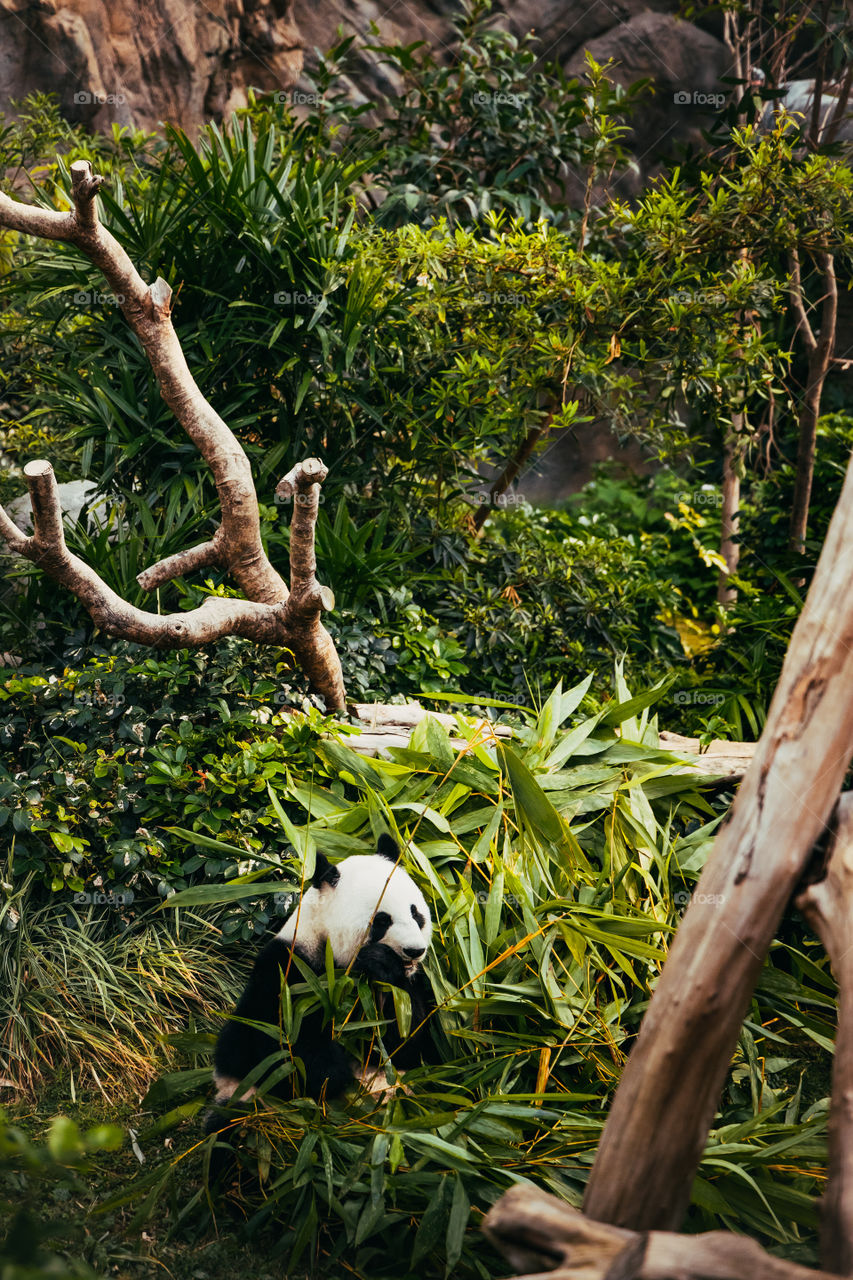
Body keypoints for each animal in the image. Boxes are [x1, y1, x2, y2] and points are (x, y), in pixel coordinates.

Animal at [205, 834, 436, 1161]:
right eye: (382, 921)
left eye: (416, 914)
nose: (415, 951)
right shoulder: (286, 973)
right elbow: (284, 1053)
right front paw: (335, 1074)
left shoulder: (407, 987)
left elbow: (409, 1043)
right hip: (250, 1105)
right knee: (228, 1133)